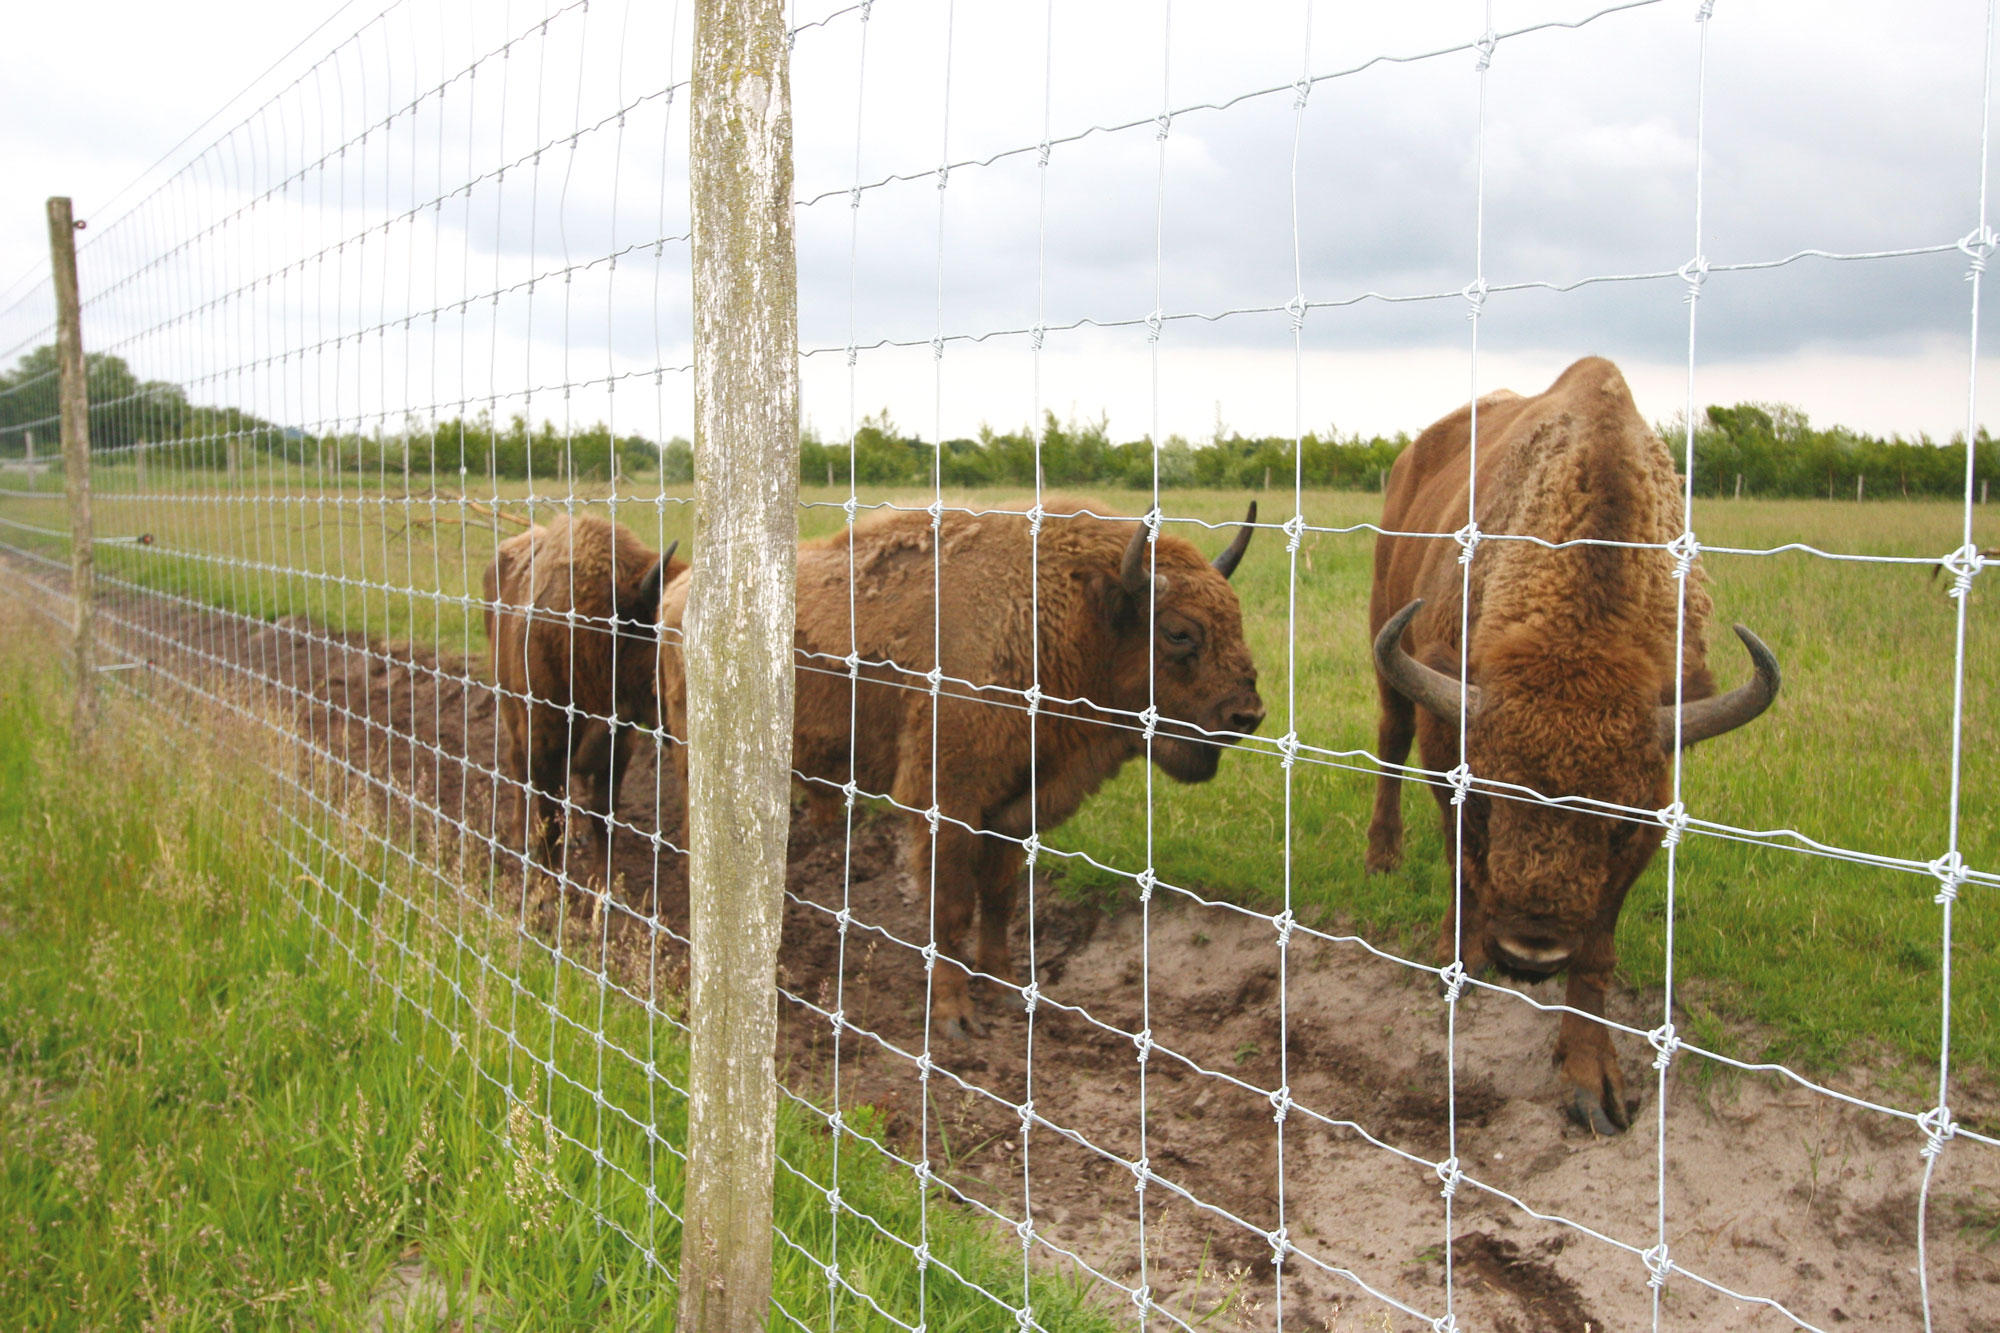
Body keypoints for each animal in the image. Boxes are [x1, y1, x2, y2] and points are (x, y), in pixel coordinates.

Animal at [480, 510, 684, 872]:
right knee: (516, 764)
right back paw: (518, 837)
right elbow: (549, 825)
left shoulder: (617, 748)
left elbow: (604, 822)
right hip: (508, 704)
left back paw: (573, 835)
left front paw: (601, 887)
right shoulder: (544, 746)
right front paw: (545, 885)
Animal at [660, 498, 1264, 1024]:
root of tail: (677, 592)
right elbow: (950, 907)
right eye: (1179, 632)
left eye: (1236, 618)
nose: (1248, 714)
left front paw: (1003, 990)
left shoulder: (1012, 809)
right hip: (692, 754)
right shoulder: (947, 802)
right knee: (695, 829)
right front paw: (953, 1014)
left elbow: (998, 900)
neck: (1060, 617)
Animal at [1360, 356, 1784, 1128]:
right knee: (1388, 744)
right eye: (1490, 804)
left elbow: (1597, 949)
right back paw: (1384, 857)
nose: (1529, 955)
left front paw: (1593, 1084)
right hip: (1389, 651)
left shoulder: (1652, 799)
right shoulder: (1448, 741)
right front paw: (1458, 961)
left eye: (1615, 827)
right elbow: (1461, 863)